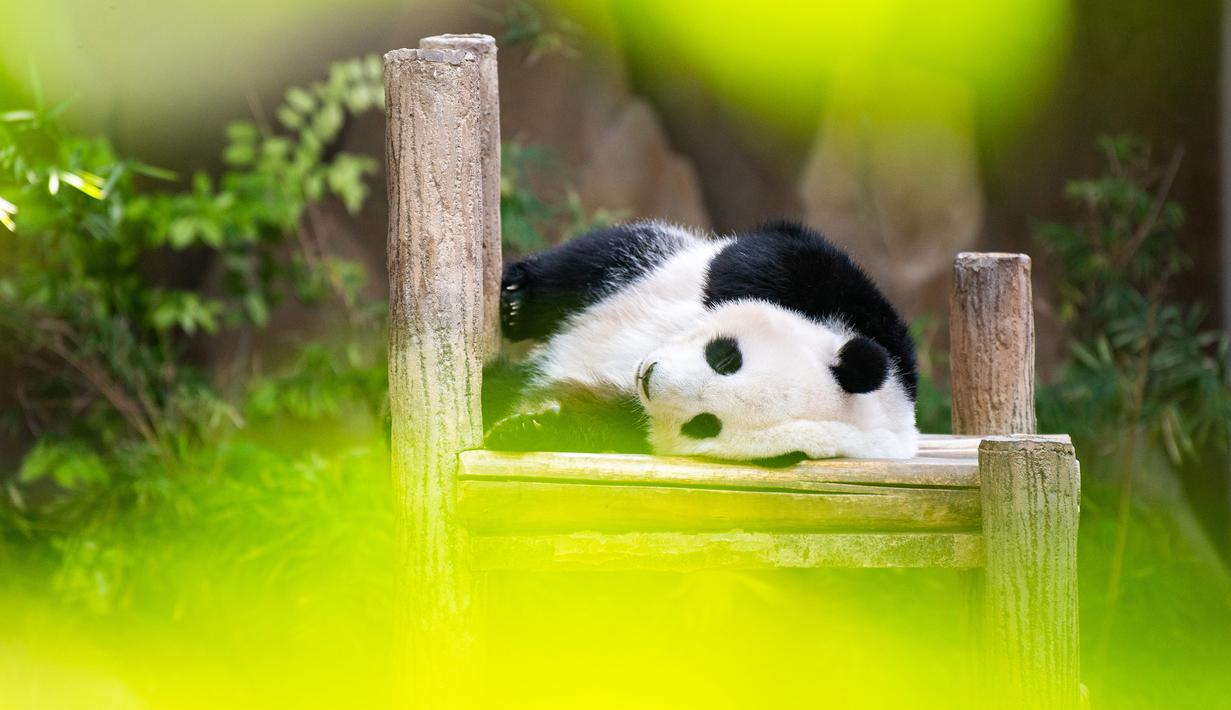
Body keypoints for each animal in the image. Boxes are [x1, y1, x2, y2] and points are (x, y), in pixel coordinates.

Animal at [482, 220, 919, 461]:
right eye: (726, 359)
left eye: (705, 425)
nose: (650, 378)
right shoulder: (880, 334)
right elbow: (779, 255)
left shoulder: (632, 420)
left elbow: (601, 424)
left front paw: (527, 428)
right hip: (649, 261)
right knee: (598, 259)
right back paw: (517, 303)